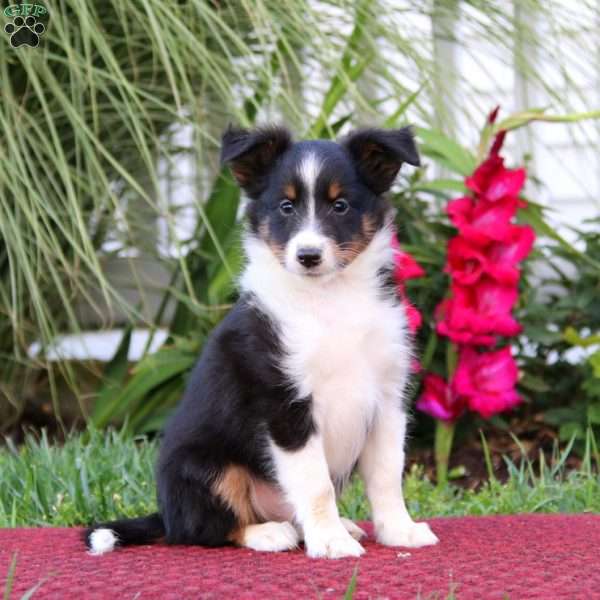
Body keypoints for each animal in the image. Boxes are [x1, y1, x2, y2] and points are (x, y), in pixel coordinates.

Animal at [85, 124, 440, 560]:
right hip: (205, 466)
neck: (329, 298)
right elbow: (317, 484)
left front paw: (399, 531)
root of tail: (164, 514)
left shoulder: (387, 397)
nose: (308, 255)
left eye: (340, 206)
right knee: (203, 529)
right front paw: (330, 542)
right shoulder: (284, 405)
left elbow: (388, 476)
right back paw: (269, 533)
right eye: (286, 208)